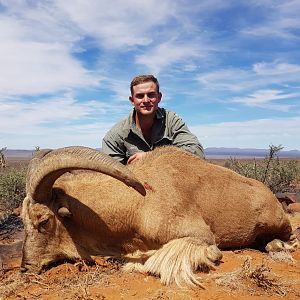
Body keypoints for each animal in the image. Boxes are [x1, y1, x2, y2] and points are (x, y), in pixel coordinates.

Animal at [21, 146, 296, 288]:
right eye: (22, 220)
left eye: (44, 221)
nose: (26, 268)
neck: (138, 204)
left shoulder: (199, 237)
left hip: (275, 221)